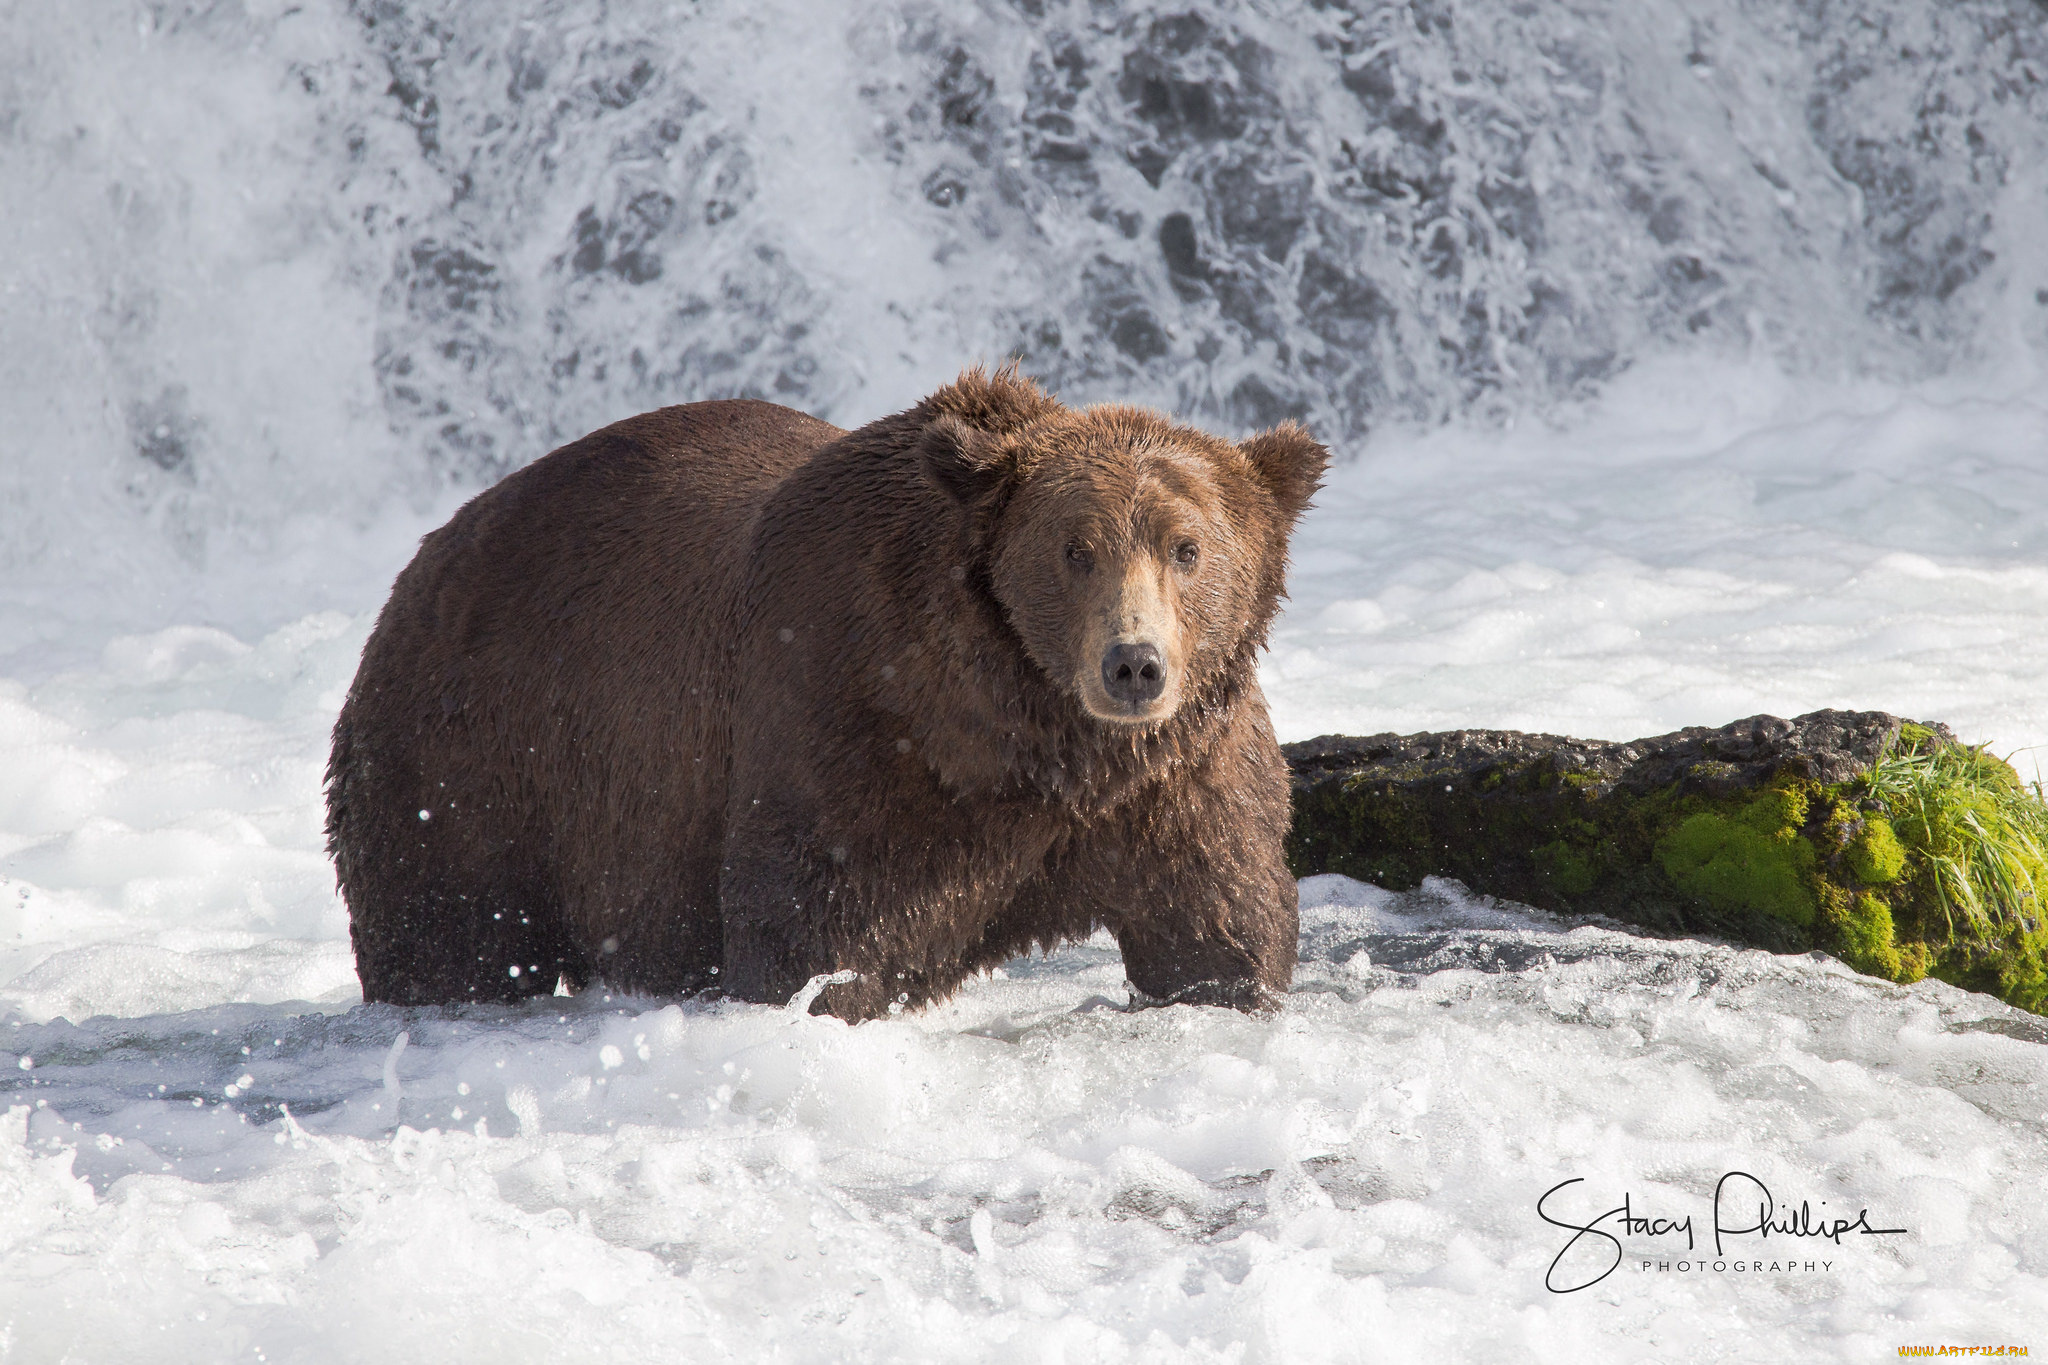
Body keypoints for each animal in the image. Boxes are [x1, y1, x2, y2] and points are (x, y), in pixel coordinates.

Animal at [323, 368, 1327, 1019]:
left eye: (1187, 546)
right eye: (1074, 549)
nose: (1133, 664)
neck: (1022, 734)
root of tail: (425, 559)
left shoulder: (1177, 770)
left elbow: (1220, 913)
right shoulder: (850, 707)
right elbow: (820, 925)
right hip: (482, 753)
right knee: (452, 927)